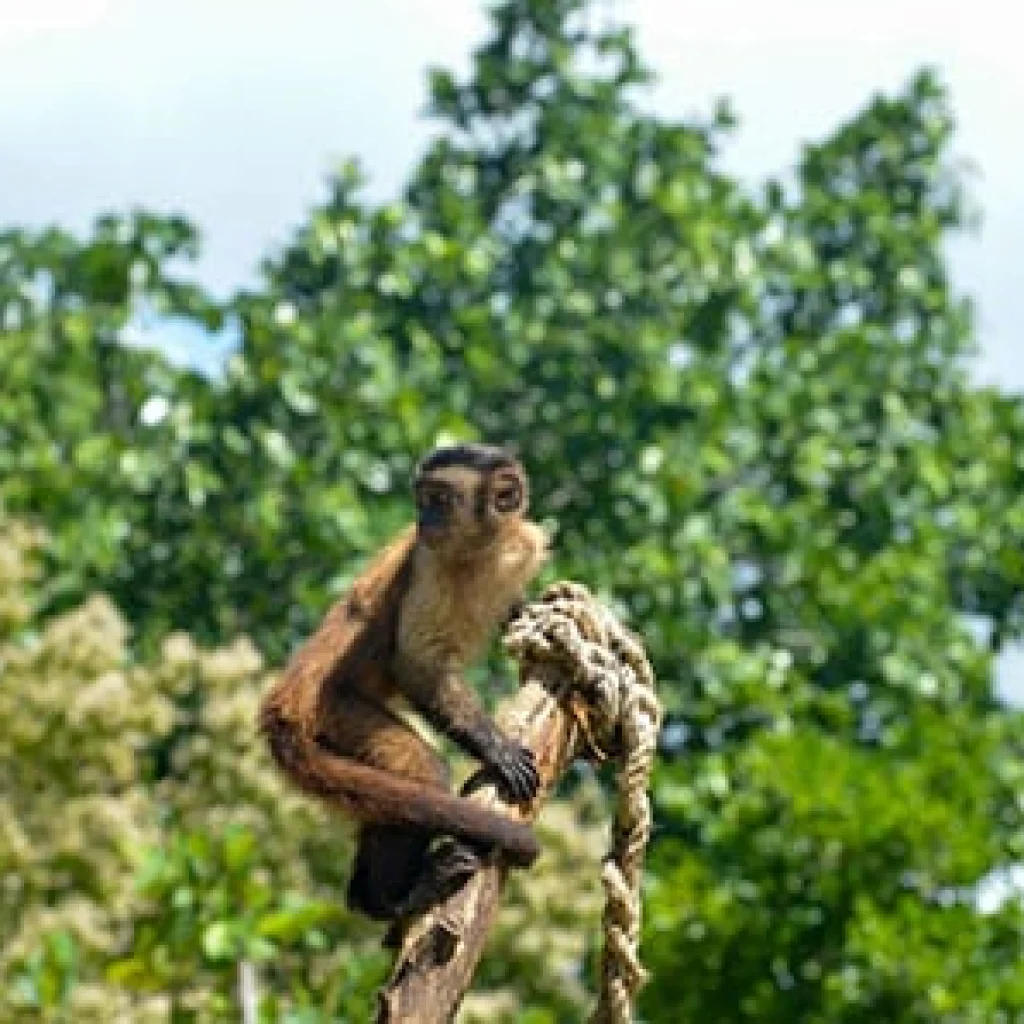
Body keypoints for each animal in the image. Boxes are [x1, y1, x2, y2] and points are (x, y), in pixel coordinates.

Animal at [258, 442, 549, 925]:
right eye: (423, 499)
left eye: (440, 500)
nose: (424, 520)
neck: (483, 552)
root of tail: (285, 700)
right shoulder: (429, 562)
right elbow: (416, 665)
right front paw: (496, 749)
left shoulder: (522, 545)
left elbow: (515, 609)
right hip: (335, 710)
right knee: (421, 773)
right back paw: (389, 900)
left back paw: (368, 899)